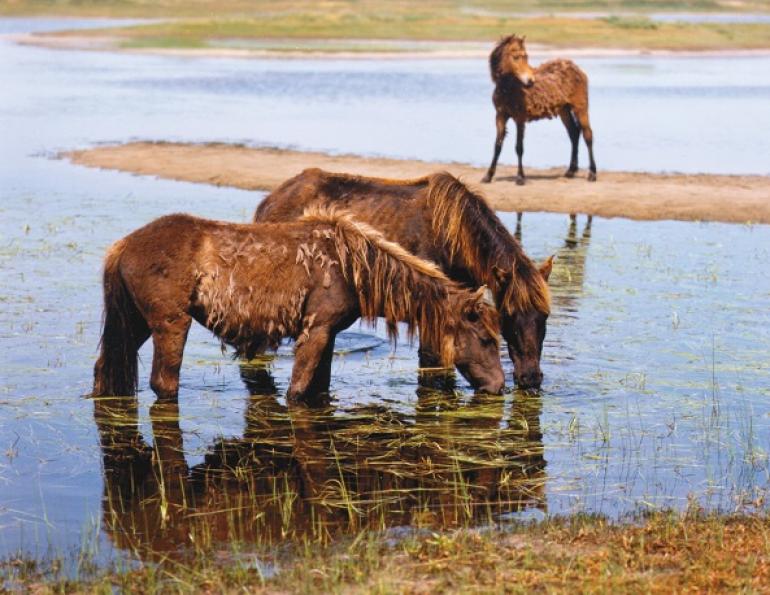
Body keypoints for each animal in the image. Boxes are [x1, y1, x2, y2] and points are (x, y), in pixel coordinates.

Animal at [92, 207, 505, 404]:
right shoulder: (315, 330)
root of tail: (122, 246)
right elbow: (297, 391)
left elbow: (317, 388)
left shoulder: (329, 334)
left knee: (105, 369)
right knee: (164, 382)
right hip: (170, 323)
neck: (353, 268)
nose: (499, 387)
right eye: (486, 339)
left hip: (135, 324)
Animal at [481, 34, 597, 185]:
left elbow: (519, 147)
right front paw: (488, 176)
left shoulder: (520, 118)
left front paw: (520, 177)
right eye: (516, 57)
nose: (530, 81)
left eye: (526, 56)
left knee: (587, 135)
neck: (509, 89)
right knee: (574, 133)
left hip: (580, 108)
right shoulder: (500, 116)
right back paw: (570, 171)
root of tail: (577, 68)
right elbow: (497, 146)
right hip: (564, 110)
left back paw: (592, 173)